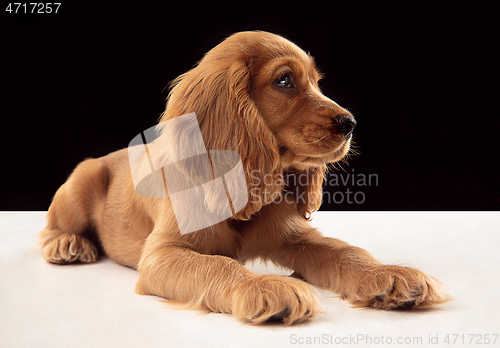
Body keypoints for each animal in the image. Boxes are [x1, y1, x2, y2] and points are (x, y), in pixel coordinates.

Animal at [39, 31, 450, 324]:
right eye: (284, 81)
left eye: (316, 82)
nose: (349, 124)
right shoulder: (161, 255)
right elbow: (218, 264)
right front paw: (266, 286)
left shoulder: (296, 239)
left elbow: (347, 252)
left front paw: (390, 275)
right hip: (82, 179)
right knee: (52, 226)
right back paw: (67, 244)